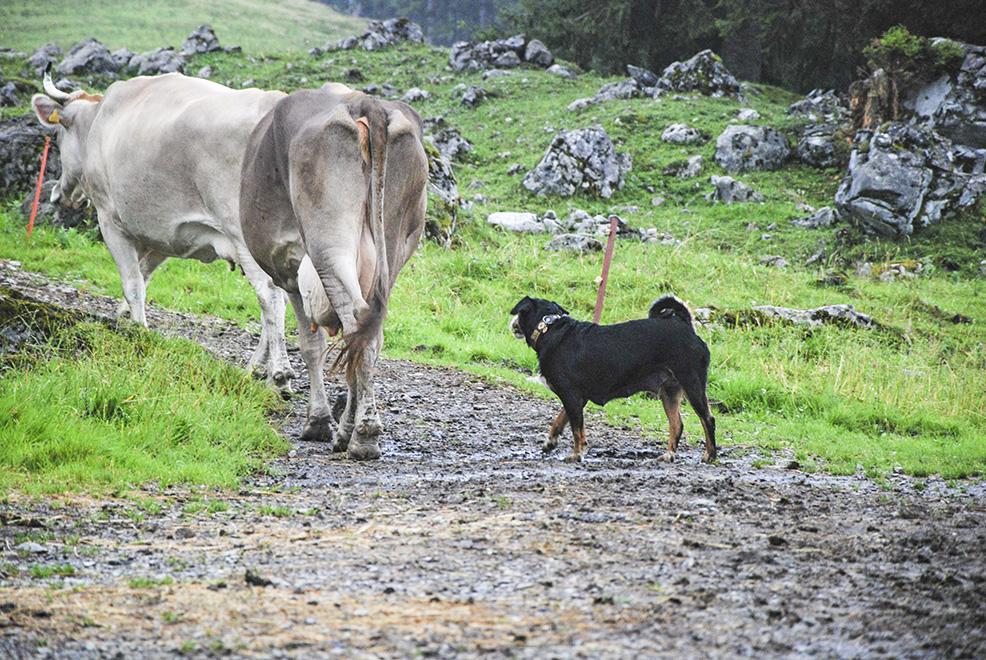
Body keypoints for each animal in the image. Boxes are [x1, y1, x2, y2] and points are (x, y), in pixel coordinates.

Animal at [29, 69, 292, 394]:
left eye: (58, 135)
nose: (57, 195)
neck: (99, 122)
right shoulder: (163, 238)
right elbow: (143, 275)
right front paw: (126, 318)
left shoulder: (110, 220)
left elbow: (133, 283)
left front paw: (140, 332)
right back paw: (255, 369)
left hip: (248, 240)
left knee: (270, 296)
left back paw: (278, 374)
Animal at [239, 82, 426, 462]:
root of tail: (363, 103)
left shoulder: (290, 273)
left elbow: (311, 345)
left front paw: (317, 421)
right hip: (394, 246)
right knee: (370, 335)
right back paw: (357, 431)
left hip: (328, 245)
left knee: (354, 322)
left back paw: (362, 435)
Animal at [508, 296, 716, 462]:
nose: (512, 323)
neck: (549, 327)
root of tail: (686, 326)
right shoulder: (577, 399)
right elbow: (560, 421)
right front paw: (550, 442)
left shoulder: (571, 396)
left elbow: (576, 430)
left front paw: (577, 454)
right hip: (670, 392)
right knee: (677, 425)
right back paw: (669, 454)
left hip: (692, 384)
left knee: (708, 419)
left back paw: (710, 455)